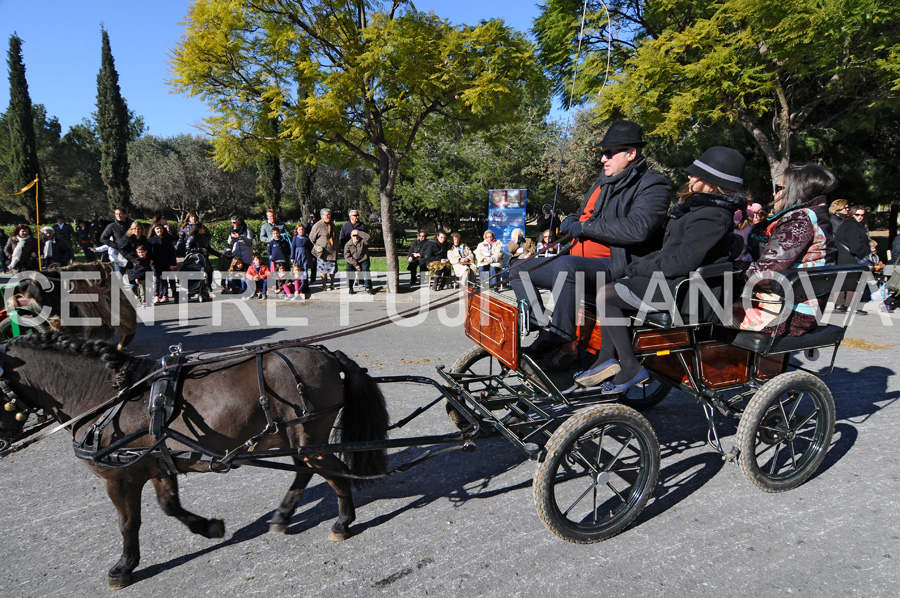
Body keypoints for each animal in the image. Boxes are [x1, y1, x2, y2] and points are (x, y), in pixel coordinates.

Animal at [2, 332, 390, 592]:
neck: (109, 396)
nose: (3, 444)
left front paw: (124, 567)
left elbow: (128, 523)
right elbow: (169, 506)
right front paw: (209, 527)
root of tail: (329, 355)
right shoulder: (159, 463)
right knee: (307, 471)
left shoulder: (120, 475)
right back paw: (284, 515)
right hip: (296, 439)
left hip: (308, 438)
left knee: (333, 472)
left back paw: (343, 521)